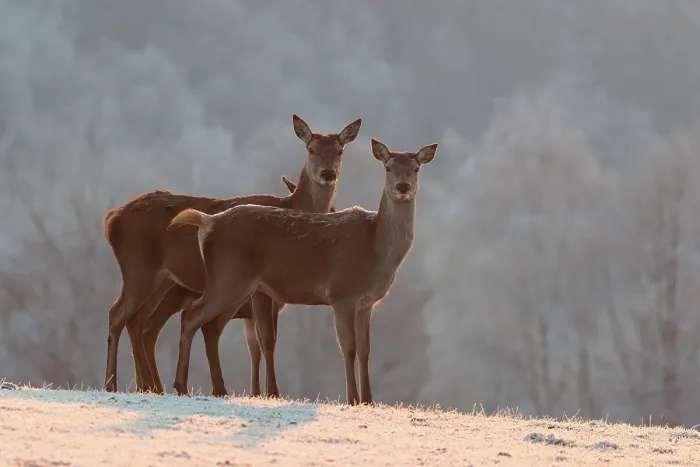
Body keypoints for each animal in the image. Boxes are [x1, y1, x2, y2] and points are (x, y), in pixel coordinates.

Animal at [138, 175, 337, 396]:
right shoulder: (259, 303)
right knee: (151, 326)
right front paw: (265, 391)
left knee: (146, 327)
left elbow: (254, 348)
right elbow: (264, 341)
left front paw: (256, 391)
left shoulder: (248, 315)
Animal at [168, 137, 438, 405]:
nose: (402, 187)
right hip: (228, 277)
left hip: (239, 286)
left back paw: (206, 388)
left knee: (206, 324)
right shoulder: (342, 294)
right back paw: (181, 386)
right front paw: (352, 399)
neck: (376, 249)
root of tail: (207, 221)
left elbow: (365, 350)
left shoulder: (366, 303)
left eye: (416, 168)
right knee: (191, 315)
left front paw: (368, 401)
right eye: (388, 167)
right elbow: (348, 348)